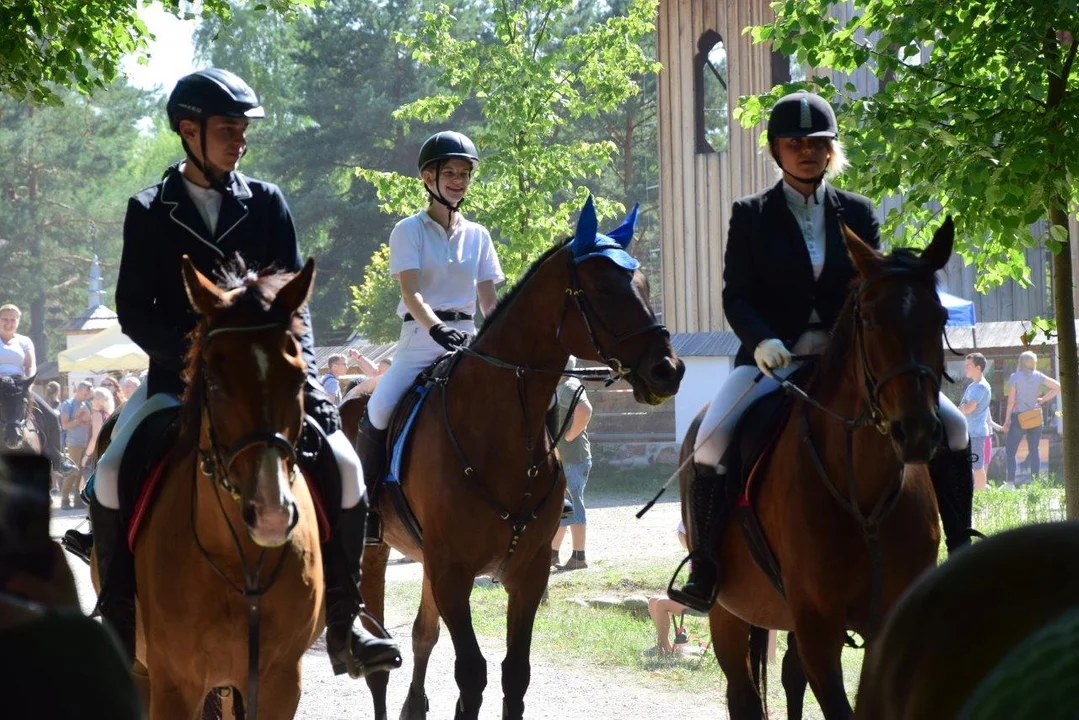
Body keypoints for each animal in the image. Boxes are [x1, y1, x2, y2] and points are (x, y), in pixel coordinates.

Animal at [95, 255, 323, 716]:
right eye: (214, 383)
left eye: (298, 378)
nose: (271, 515)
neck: (239, 561)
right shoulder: (174, 684)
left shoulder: (279, 682)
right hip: (143, 671)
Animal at [343, 198, 681, 720]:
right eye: (604, 288)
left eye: (644, 284)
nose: (668, 370)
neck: (499, 431)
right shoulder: (453, 572)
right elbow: (471, 674)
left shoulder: (526, 574)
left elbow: (513, 674)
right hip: (375, 551)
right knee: (380, 659)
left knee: (422, 636)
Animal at [686, 221, 958, 720]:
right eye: (869, 320)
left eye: (941, 318)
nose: (916, 432)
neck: (862, 492)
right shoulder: (819, 627)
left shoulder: (885, 623)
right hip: (727, 611)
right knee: (742, 692)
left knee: (789, 677)